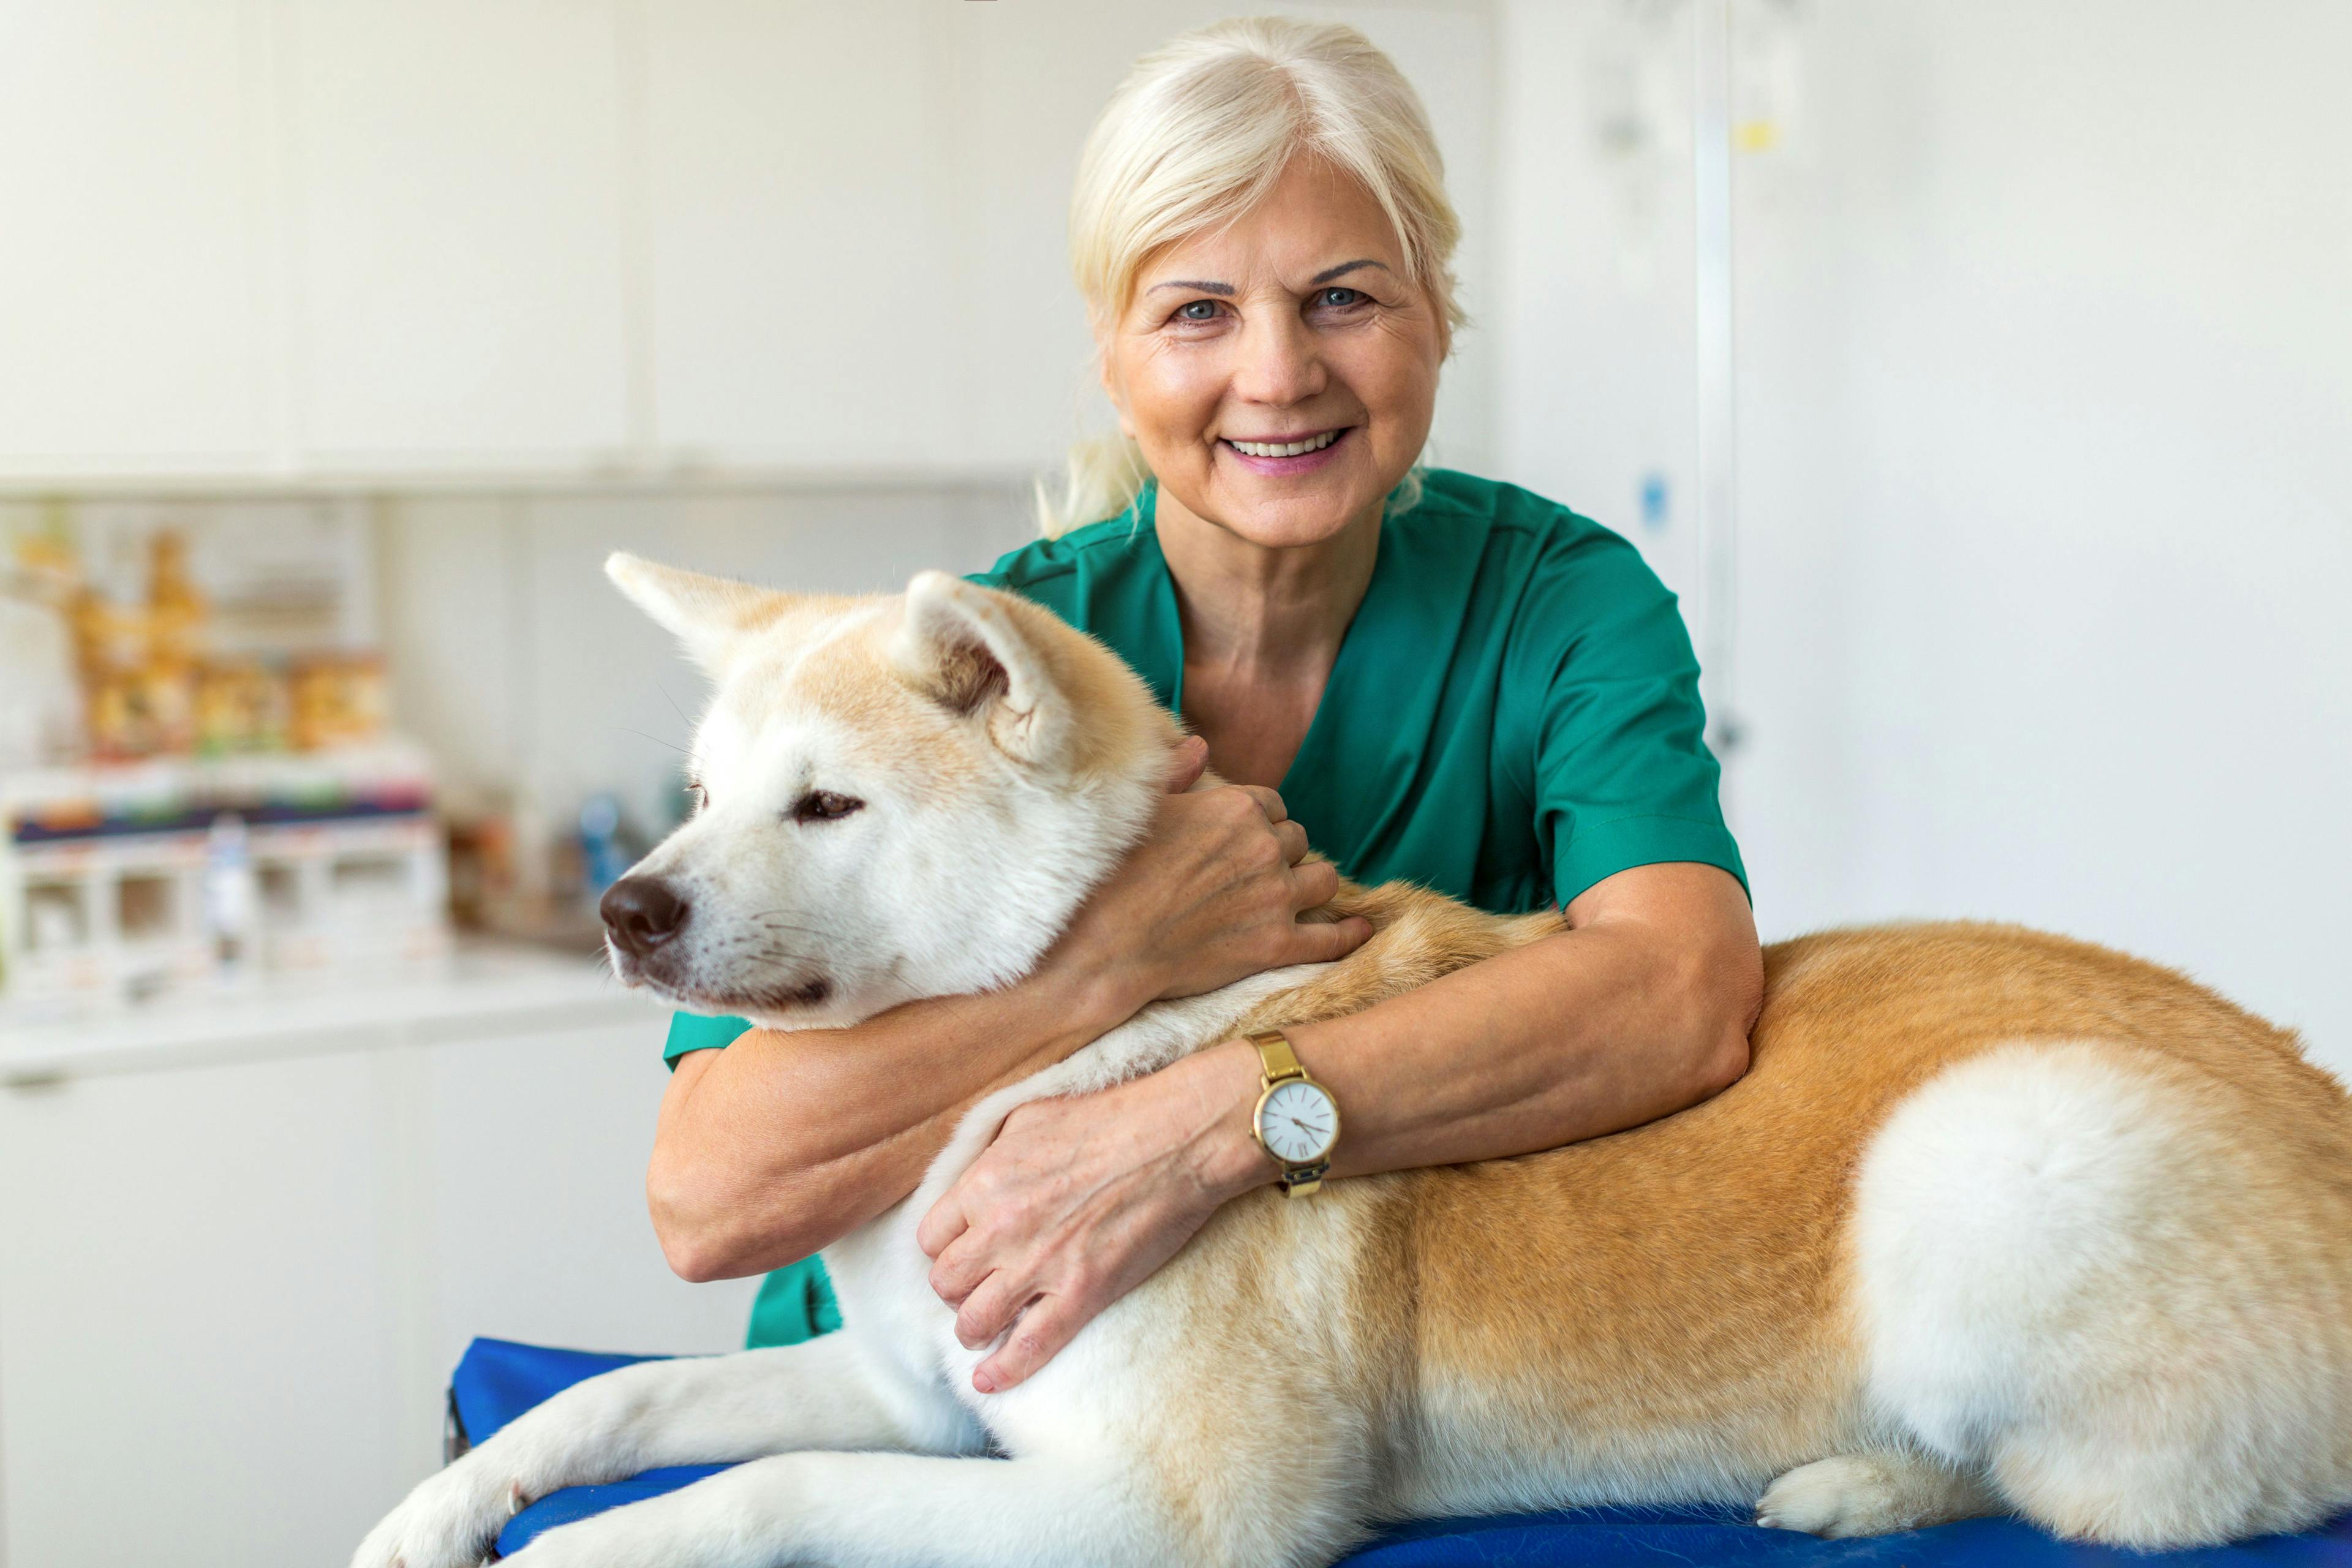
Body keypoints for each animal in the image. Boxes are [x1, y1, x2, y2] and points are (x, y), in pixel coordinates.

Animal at [353, 557, 2352, 1568]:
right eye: (698, 796)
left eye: (824, 805)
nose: (617, 908)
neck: (1055, 1054)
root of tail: (2320, 1096)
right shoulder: (919, 1400)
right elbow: (605, 1407)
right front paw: (433, 1511)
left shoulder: (1159, 1511)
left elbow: (744, 1495)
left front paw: (579, 1555)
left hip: (1984, 1158)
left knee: (2134, 1497)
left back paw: (1860, 1480)